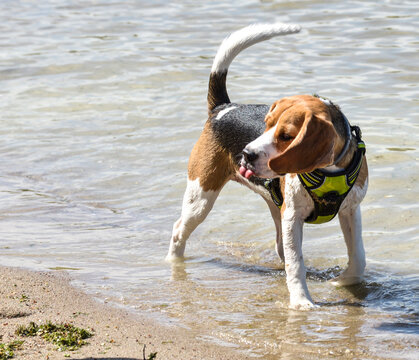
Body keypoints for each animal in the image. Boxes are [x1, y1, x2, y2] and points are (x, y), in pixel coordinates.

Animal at [166, 23, 370, 310]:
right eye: (266, 124)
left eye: (286, 135)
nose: (246, 154)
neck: (328, 172)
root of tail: (224, 107)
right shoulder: (293, 216)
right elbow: (297, 264)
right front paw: (301, 302)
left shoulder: (351, 210)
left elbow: (359, 255)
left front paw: (343, 282)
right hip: (201, 196)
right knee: (178, 230)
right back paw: (174, 263)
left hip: (275, 209)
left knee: (280, 247)